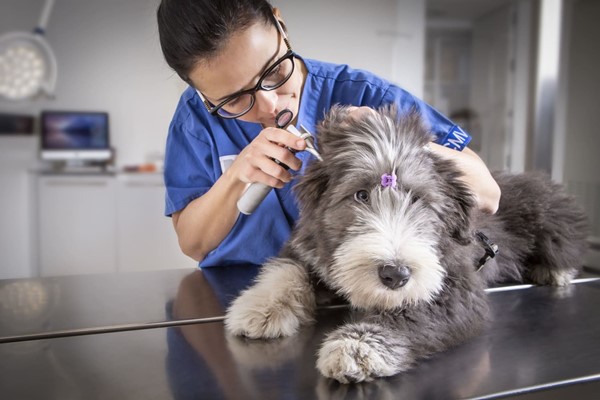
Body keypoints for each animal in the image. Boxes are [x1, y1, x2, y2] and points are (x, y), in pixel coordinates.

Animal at [223, 104, 588, 382]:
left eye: (419, 200)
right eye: (361, 195)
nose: (395, 275)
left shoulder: (456, 289)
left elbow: (413, 314)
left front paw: (357, 347)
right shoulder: (307, 248)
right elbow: (286, 271)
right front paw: (258, 309)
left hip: (548, 216)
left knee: (565, 242)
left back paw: (554, 271)